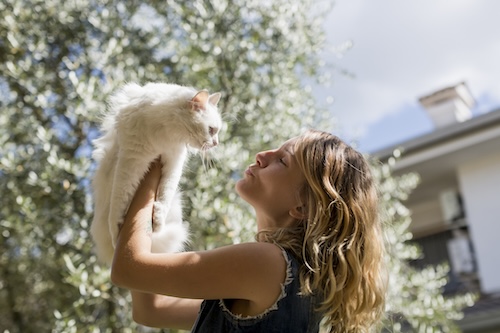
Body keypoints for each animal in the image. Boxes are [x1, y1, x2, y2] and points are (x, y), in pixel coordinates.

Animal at [90, 81, 223, 264]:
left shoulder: (174, 161)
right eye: (211, 130)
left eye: (217, 131)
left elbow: (165, 193)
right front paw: (116, 232)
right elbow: (119, 201)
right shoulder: (131, 160)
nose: (216, 143)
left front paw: (158, 220)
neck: (168, 131)